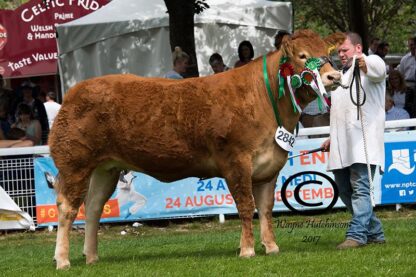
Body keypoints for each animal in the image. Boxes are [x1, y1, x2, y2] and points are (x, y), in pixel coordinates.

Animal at [49, 29, 344, 268]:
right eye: (303, 56)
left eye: (326, 53)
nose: (334, 76)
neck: (265, 99)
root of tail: (75, 91)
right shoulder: (236, 161)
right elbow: (246, 205)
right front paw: (247, 249)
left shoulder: (269, 165)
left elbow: (266, 207)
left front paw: (270, 246)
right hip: (75, 163)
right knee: (67, 208)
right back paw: (62, 259)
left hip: (105, 169)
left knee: (93, 208)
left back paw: (91, 256)